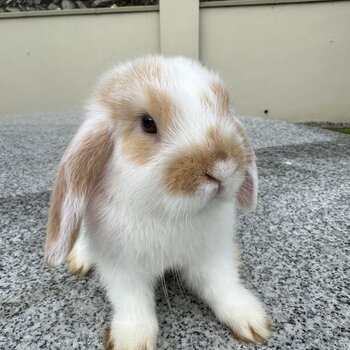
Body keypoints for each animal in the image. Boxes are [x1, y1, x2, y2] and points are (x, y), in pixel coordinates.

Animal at [44, 55, 274, 350]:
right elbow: (133, 303)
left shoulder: (210, 256)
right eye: (148, 123)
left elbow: (222, 285)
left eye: (224, 111)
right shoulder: (123, 268)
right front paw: (132, 339)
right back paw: (81, 258)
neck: (170, 215)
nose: (221, 169)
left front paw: (251, 321)